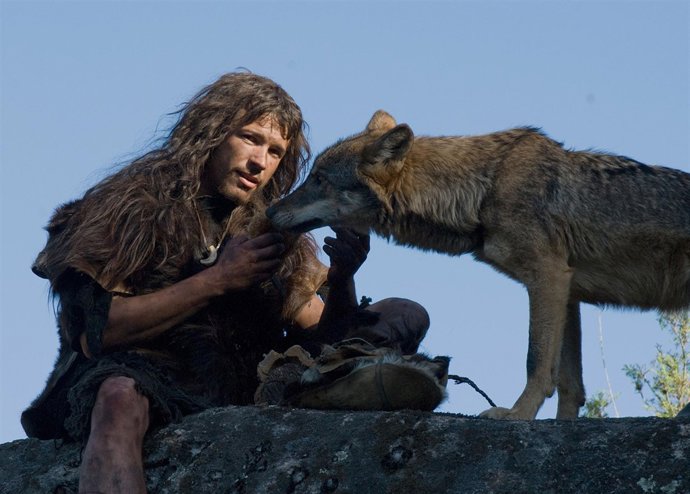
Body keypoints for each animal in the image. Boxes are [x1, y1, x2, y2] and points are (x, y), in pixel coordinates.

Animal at [266, 110, 690, 420]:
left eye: (319, 179)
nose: (270, 210)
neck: (483, 189)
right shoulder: (568, 290)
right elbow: (570, 383)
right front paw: (560, 427)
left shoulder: (548, 278)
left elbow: (537, 363)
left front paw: (517, 416)